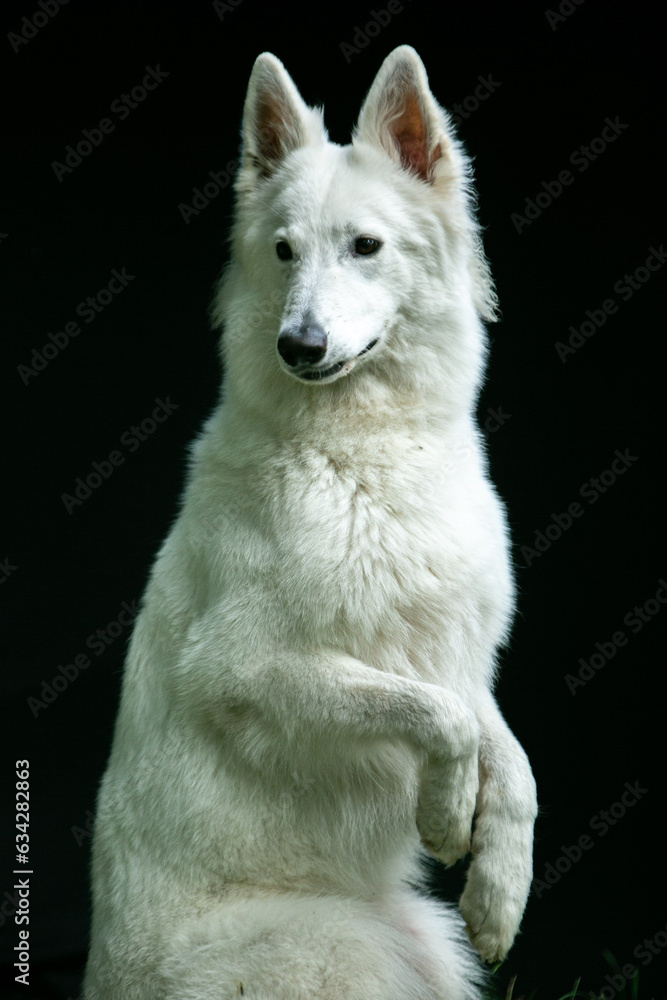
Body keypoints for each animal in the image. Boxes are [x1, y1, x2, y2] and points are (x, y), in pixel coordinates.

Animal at [86, 45, 540, 1000]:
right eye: (284, 251)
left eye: (364, 247)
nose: (298, 346)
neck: (370, 451)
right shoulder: (251, 669)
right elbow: (438, 716)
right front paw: (446, 811)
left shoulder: (452, 651)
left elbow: (508, 756)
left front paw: (499, 891)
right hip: (341, 945)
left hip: (421, 942)